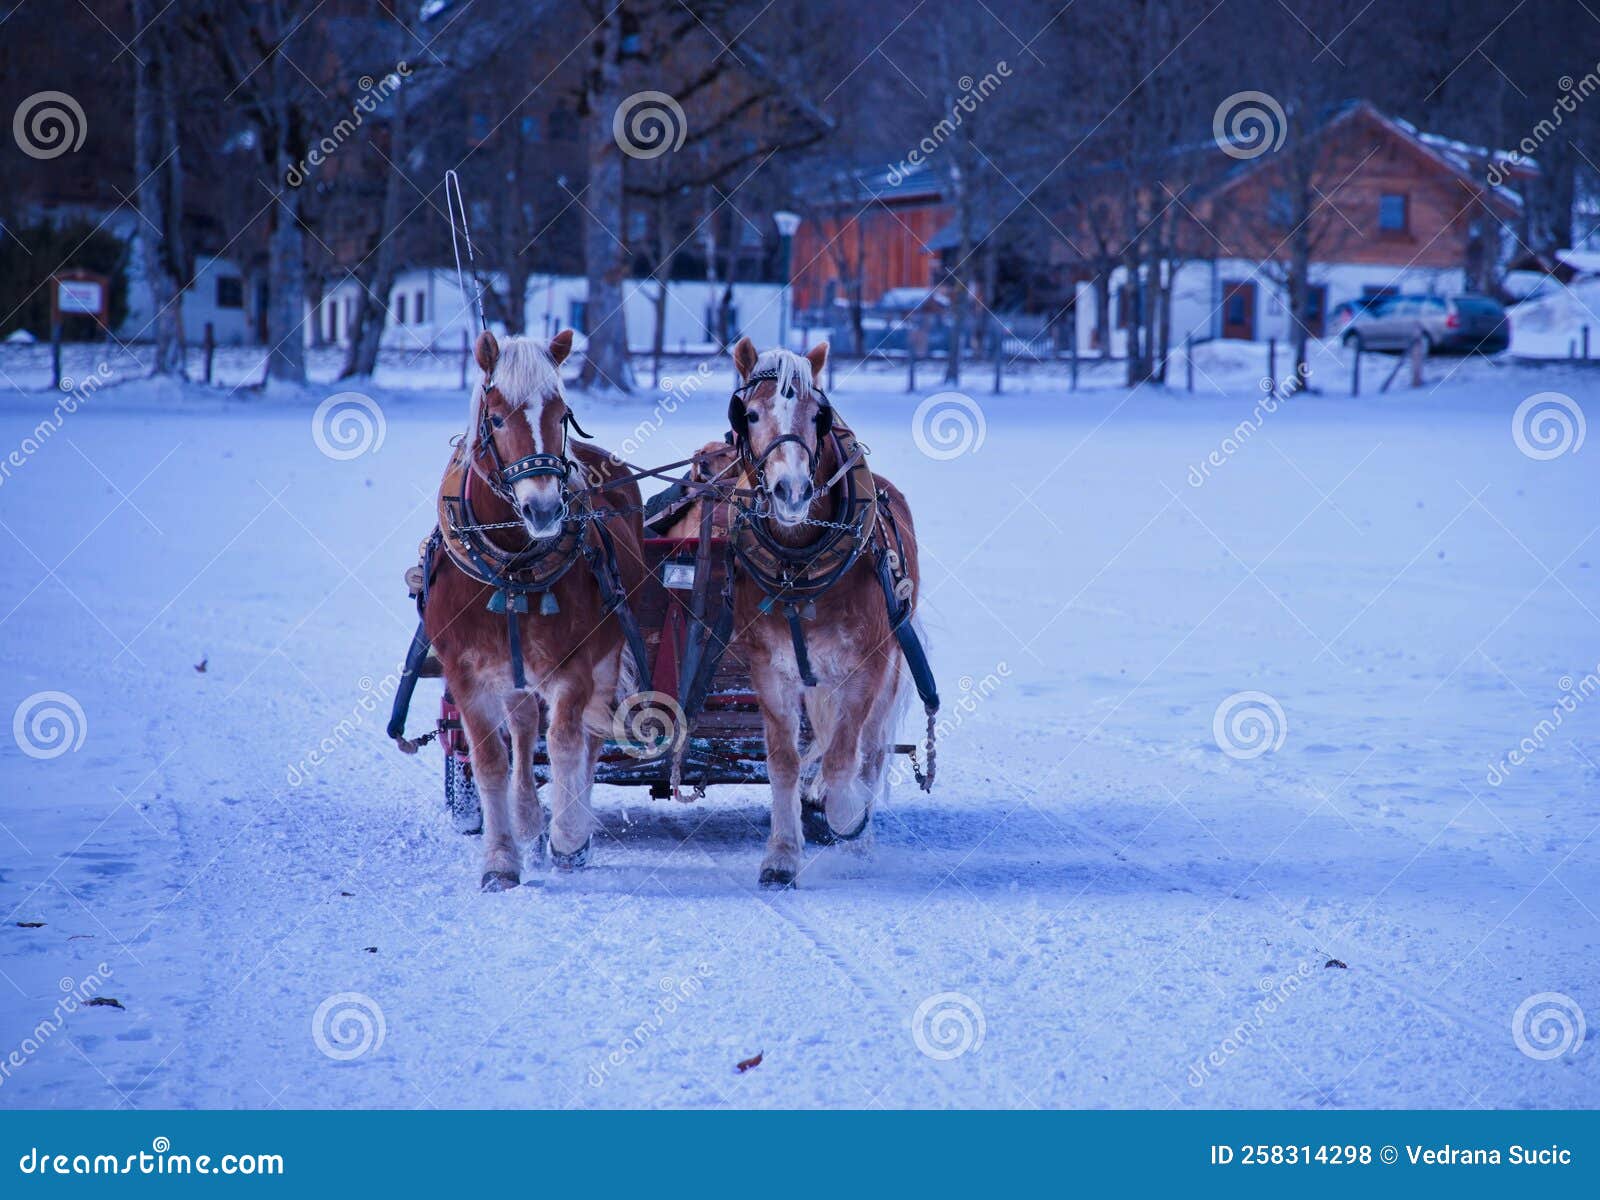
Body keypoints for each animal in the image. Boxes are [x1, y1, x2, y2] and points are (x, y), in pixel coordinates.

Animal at [423, 330, 645, 891]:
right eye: (498, 418)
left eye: (561, 412)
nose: (544, 509)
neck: (512, 568)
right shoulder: (468, 674)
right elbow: (491, 760)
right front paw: (502, 858)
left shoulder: (575, 665)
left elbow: (565, 742)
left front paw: (567, 837)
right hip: (514, 672)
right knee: (523, 729)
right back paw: (527, 817)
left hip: (606, 655)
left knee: (588, 736)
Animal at [725, 338, 929, 888]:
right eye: (750, 414)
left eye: (818, 416)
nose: (791, 491)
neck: (798, 569)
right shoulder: (770, 671)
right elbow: (783, 761)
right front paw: (780, 855)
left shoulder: (866, 669)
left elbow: (842, 760)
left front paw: (842, 815)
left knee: (871, 752)